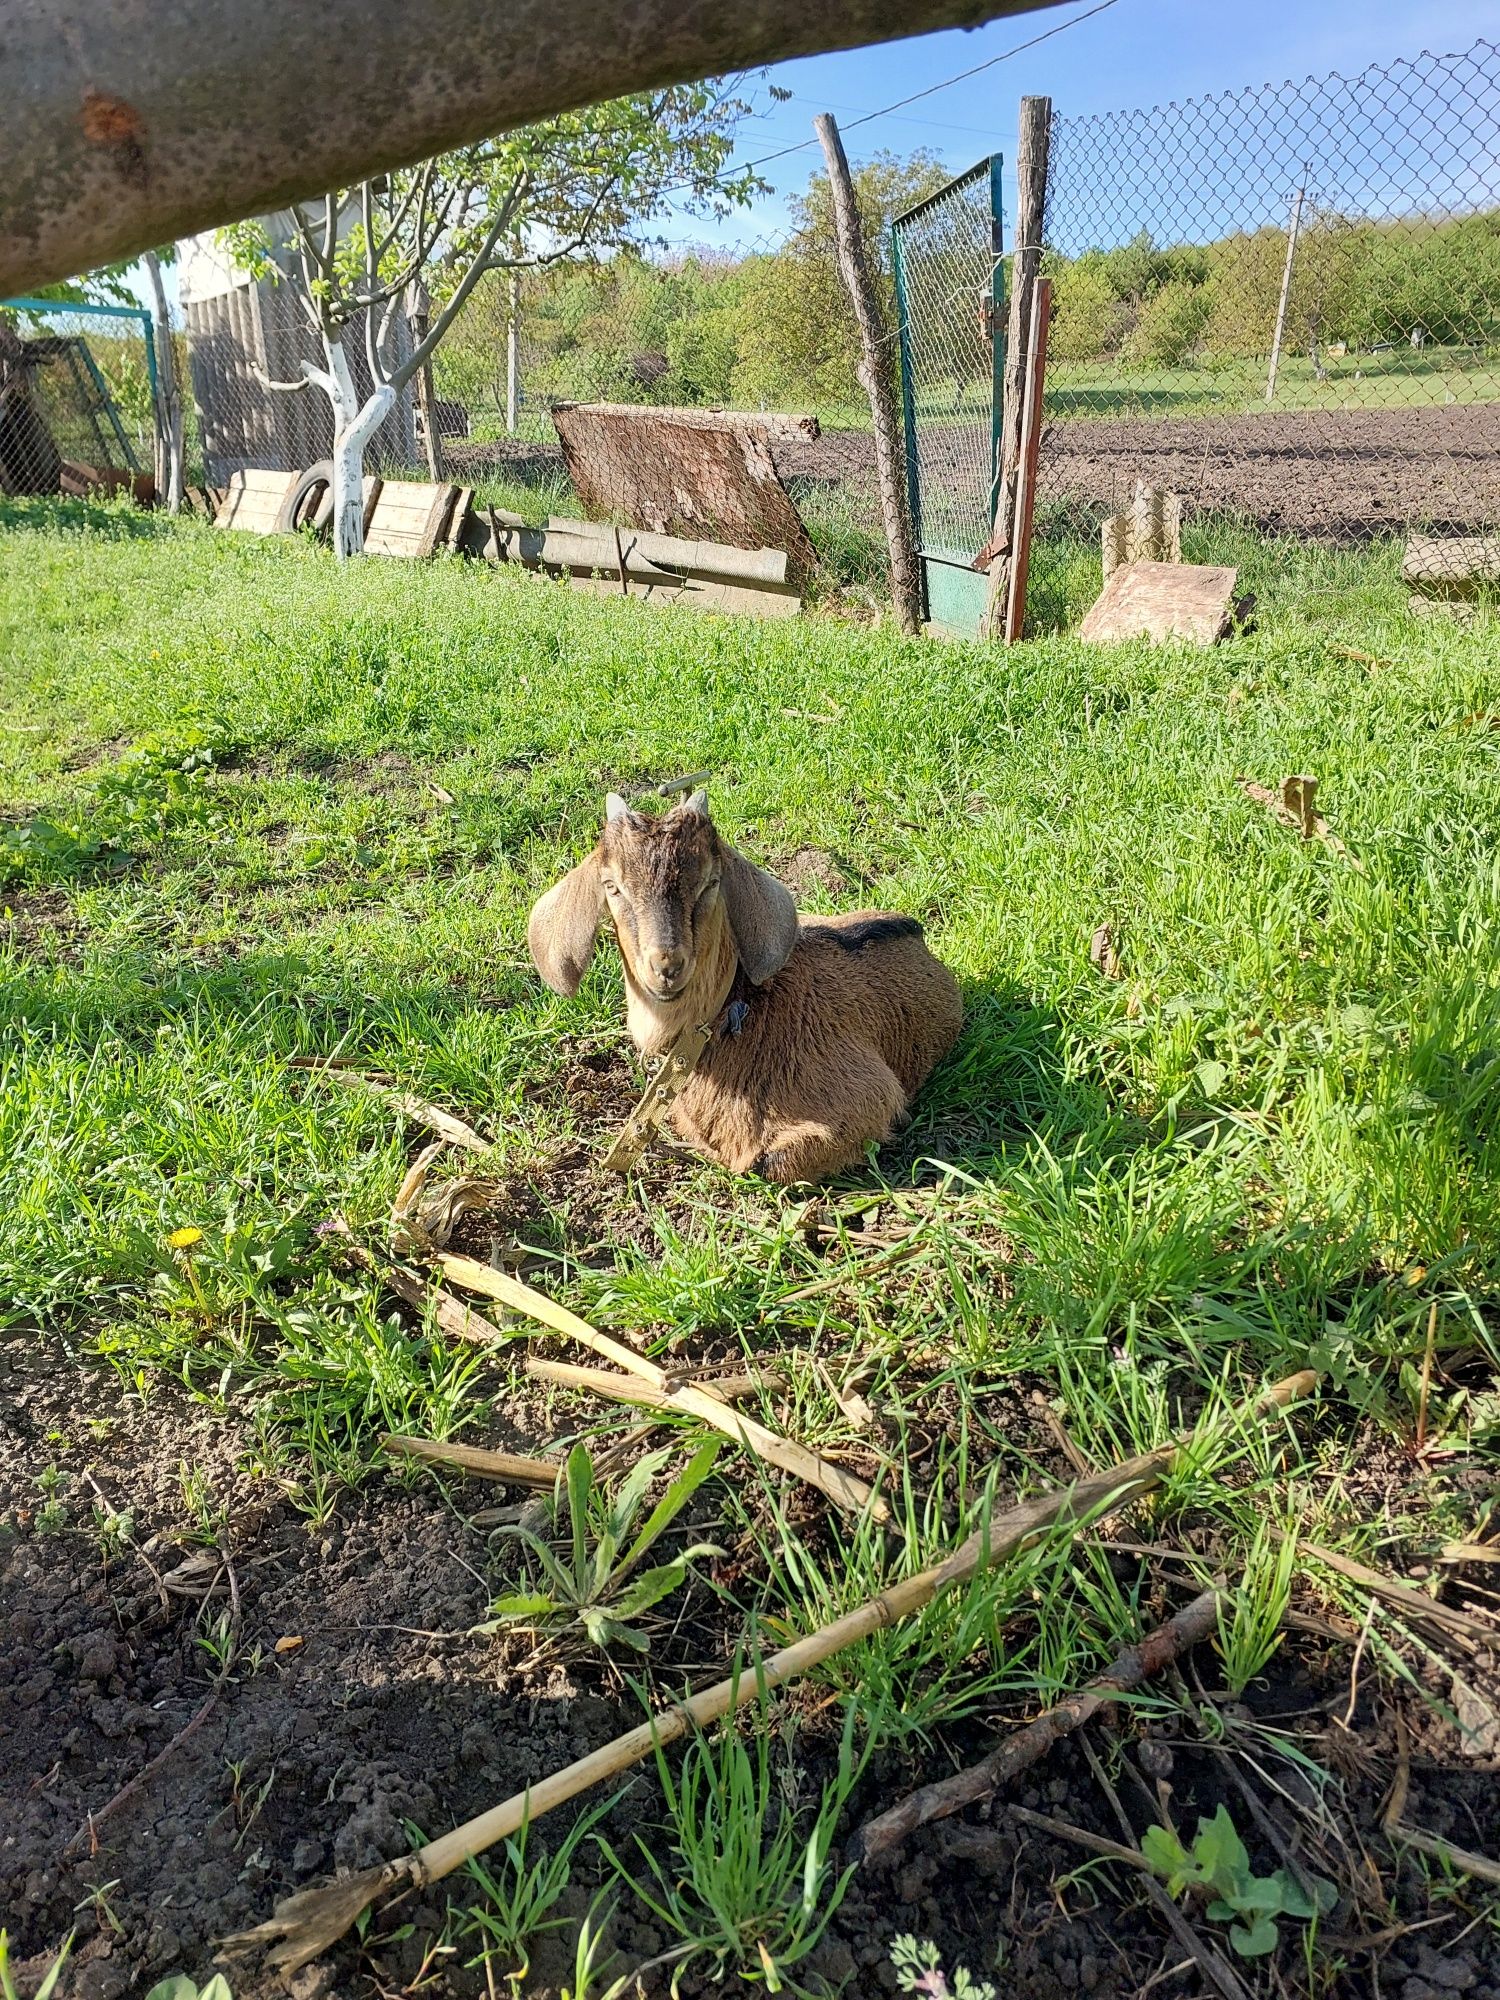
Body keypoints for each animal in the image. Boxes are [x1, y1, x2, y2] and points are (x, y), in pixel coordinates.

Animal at [524, 788, 964, 1176]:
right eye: (612, 886)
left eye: (710, 882)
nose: (666, 967)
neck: (735, 1012)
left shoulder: (867, 1099)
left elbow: (767, 1162)